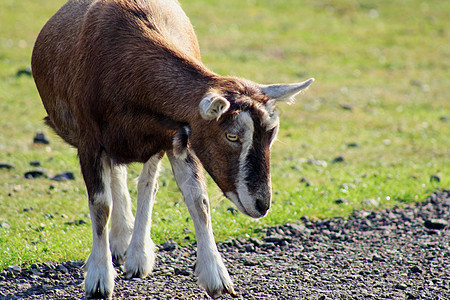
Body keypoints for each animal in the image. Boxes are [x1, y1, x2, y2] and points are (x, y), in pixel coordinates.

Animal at [31, 0, 312, 298]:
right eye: (232, 136)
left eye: (272, 133)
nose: (262, 204)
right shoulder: (90, 142)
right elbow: (100, 204)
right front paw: (98, 278)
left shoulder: (180, 138)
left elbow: (198, 200)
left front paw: (216, 277)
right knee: (118, 177)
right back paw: (120, 242)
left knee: (146, 184)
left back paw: (136, 253)